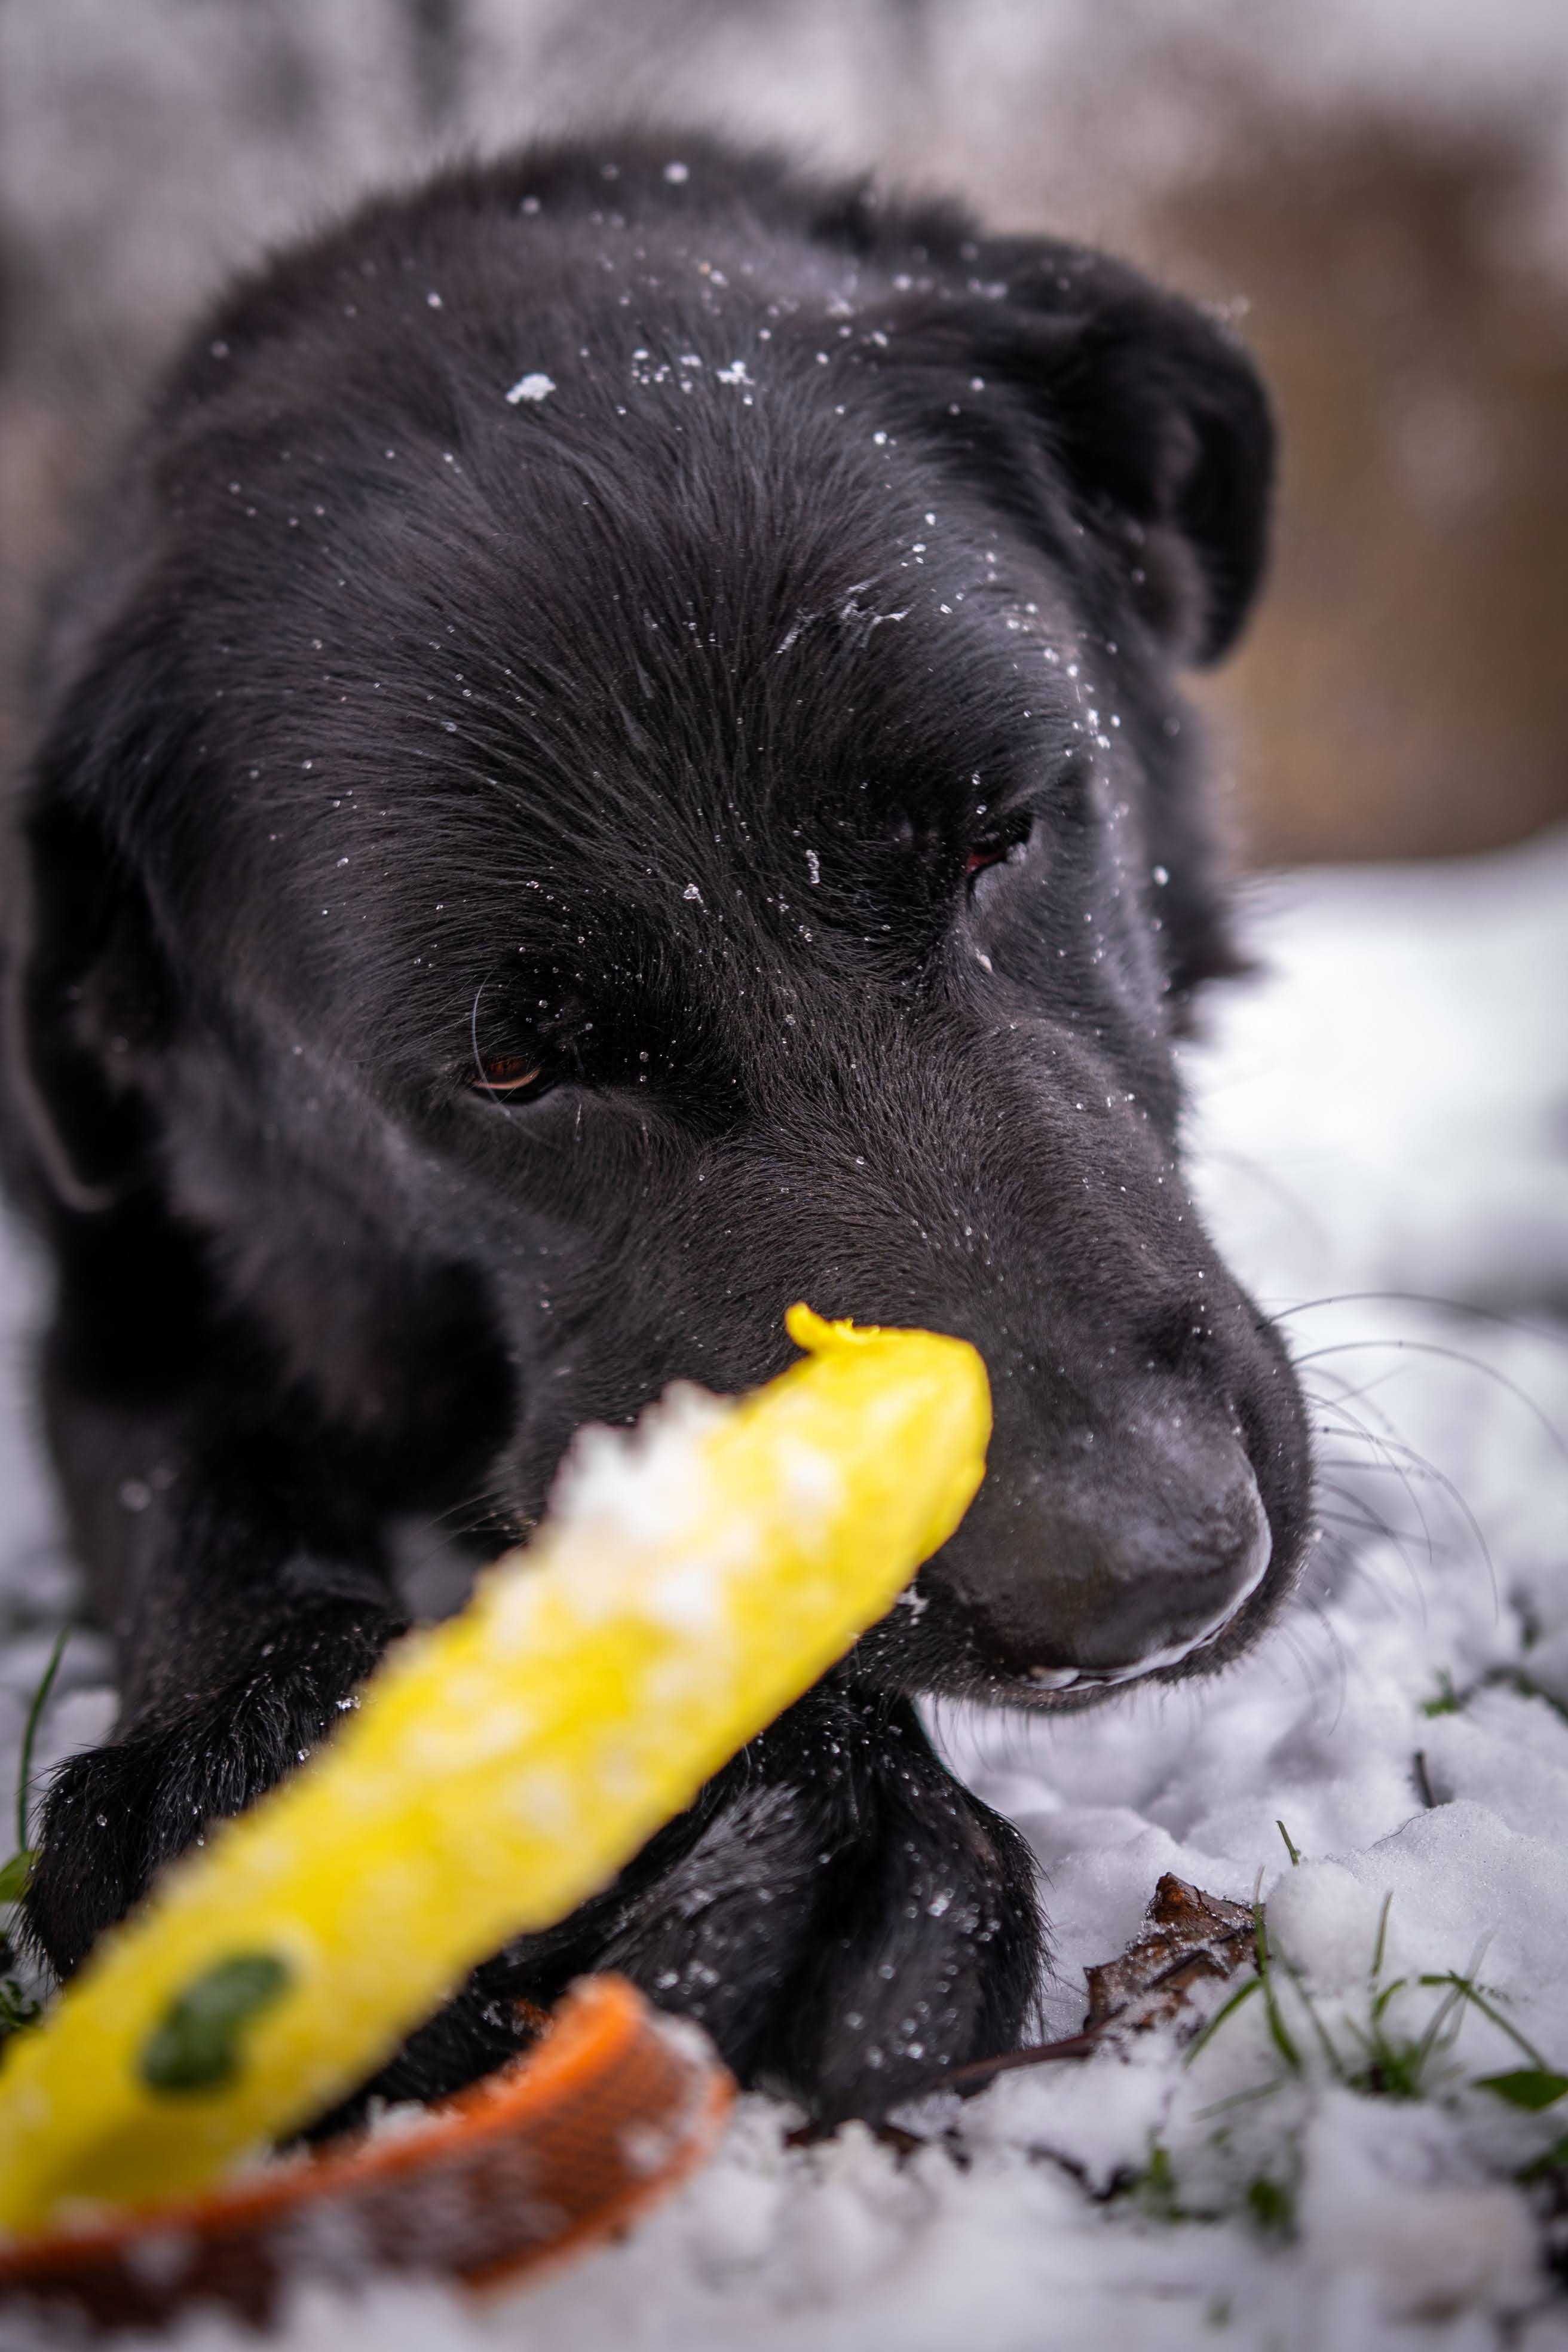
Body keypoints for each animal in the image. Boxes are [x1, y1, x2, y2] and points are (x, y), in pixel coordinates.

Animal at [0, 137, 1316, 2135]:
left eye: (996, 831)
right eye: (513, 1071)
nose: (1141, 1575)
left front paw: (829, 1830)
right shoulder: (141, 1262)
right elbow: (193, 1471)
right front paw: (242, 1774)